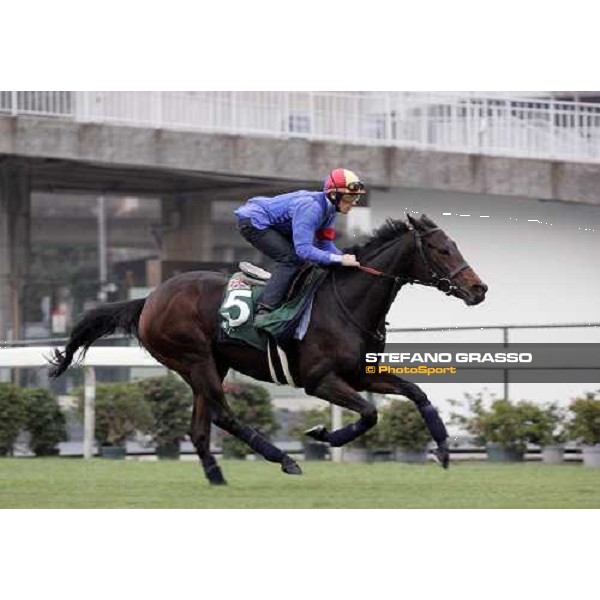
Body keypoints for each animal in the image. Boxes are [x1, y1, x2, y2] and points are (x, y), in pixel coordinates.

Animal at [48, 213, 488, 486]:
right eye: (442, 249)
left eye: (454, 244)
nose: (479, 288)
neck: (346, 302)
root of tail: (149, 300)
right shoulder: (319, 380)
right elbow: (368, 414)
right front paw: (323, 434)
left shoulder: (361, 373)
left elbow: (416, 393)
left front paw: (443, 449)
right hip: (195, 359)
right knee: (224, 416)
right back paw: (284, 458)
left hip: (208, 365)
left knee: (201, 428)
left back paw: (217, 476)